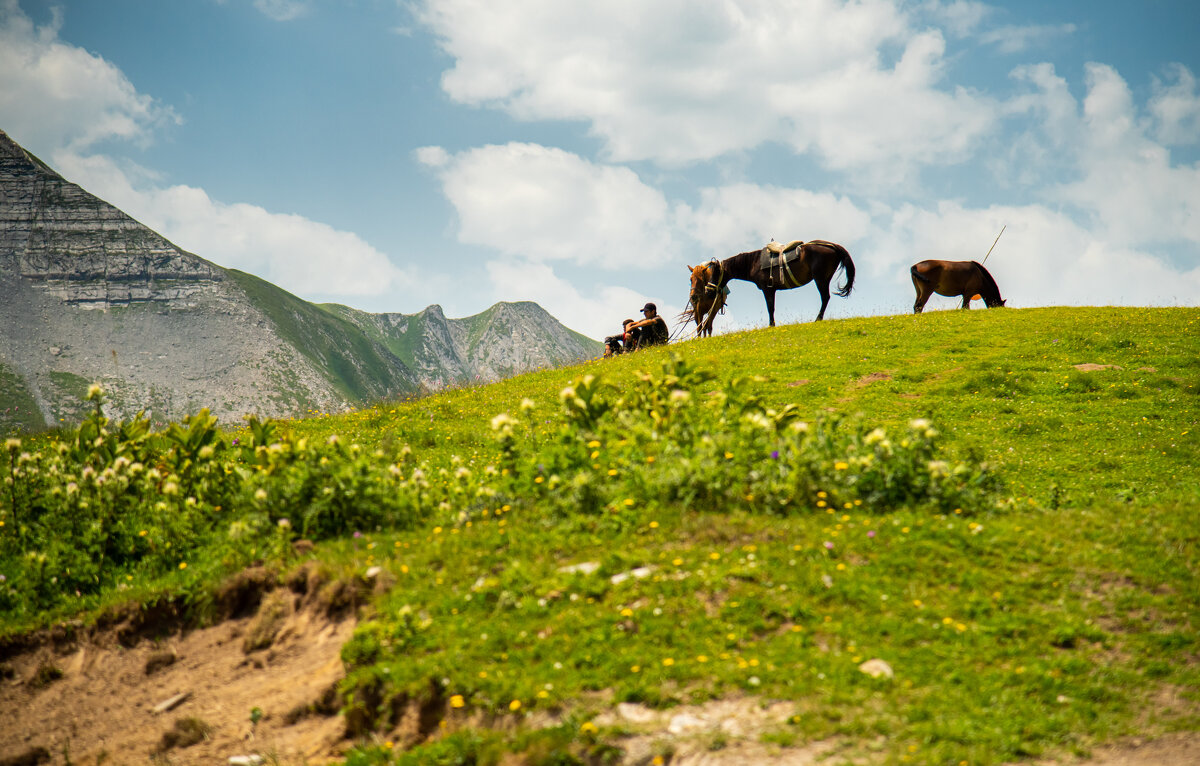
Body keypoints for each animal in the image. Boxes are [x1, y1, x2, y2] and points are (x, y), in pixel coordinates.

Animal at [710, 238, 854, 326]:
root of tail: (833, 246)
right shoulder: (771, 290)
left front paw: (771, 325)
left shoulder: (768, 289)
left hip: (820, 279)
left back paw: (818, 319)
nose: (709, 289)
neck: (754, 263)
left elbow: (770, 308)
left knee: (825, 298)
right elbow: (771, 307)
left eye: (715, 274)